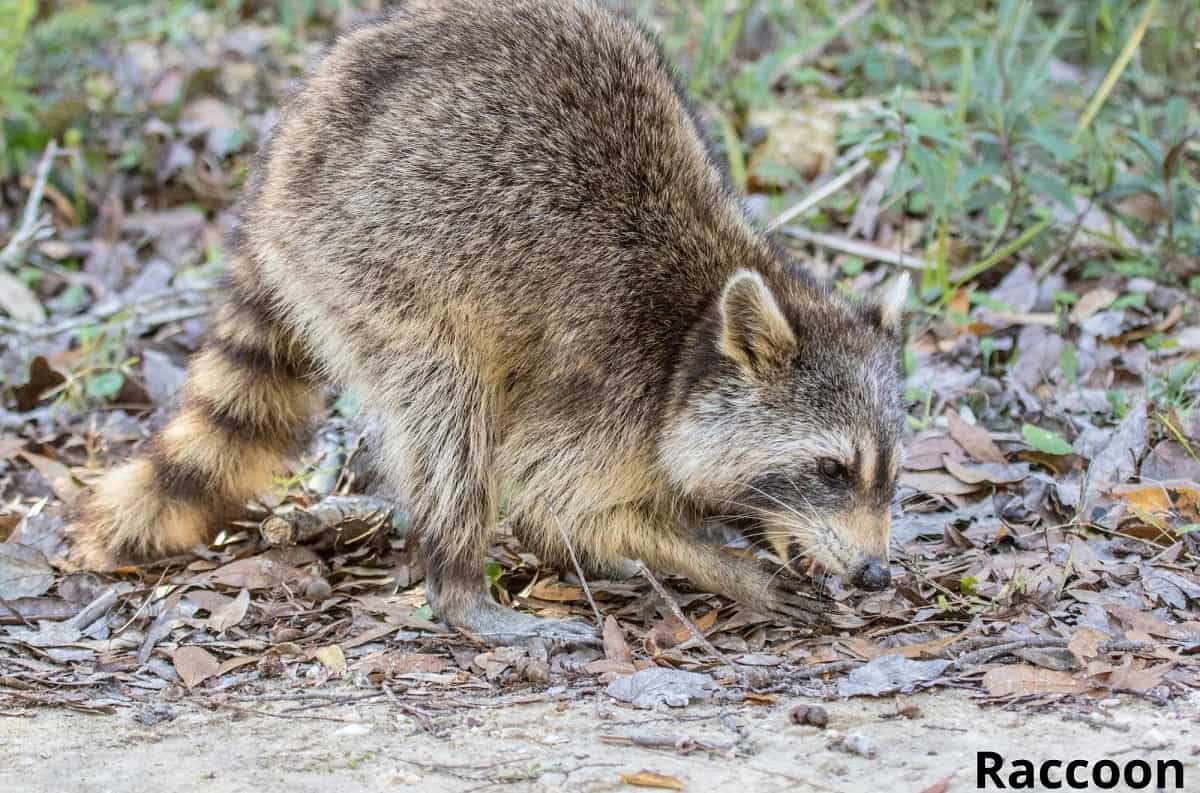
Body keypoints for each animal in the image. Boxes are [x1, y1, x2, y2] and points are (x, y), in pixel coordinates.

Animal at [68, 0, 908, 644]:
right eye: (831, 470)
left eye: (890, 474)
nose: (876, 571)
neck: (691, 337)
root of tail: (284, 152)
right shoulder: (606, 377)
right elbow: (545, 492)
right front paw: (719, 563)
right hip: (372, 267)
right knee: (450, 412)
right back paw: (462, 583)